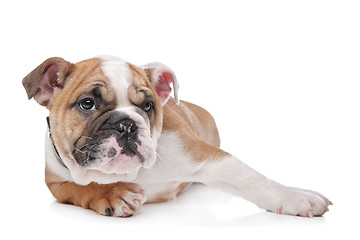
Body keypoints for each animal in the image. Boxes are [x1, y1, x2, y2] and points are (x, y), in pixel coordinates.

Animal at [22, 55, 332, 218]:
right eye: (87, 103)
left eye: (148, 106)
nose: (127, 124)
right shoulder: (56, 182)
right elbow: (81, 188)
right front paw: (112, 194)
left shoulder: (206, 156)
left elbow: (250, 178)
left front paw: (296, 197)